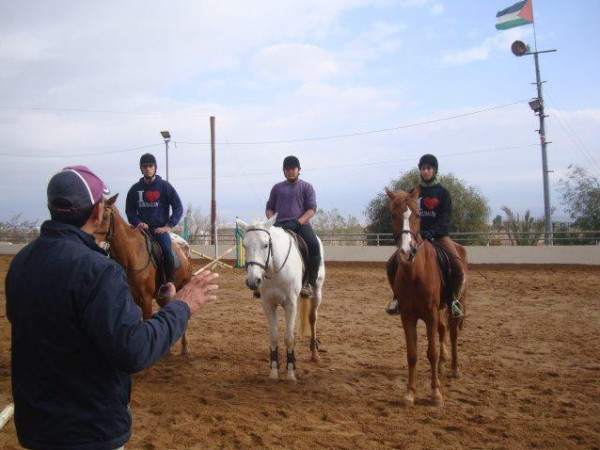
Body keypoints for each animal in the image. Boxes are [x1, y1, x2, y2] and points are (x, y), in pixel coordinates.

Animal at [95, 194, 193, 355]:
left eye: (104, 216)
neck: (131, 255)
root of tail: (184, 247)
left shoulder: (145, 298)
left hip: (182, 286)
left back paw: (185, 348)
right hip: (162, 296)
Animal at [235, 214, 325, 382]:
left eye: (265, 245)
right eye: (244, 245)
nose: (253, 281)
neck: (275, 268)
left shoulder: (290, 304)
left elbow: (289, 337)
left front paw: (290, 374)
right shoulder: (268, 304)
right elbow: (274, 337)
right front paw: (274, 372)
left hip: (317, 292)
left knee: (312, 319)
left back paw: (315, 354)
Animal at [385, 187, 468, 407]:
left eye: (417, 215)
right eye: (393, 215)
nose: (407, 251)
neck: (415, 274)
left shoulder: (430, 315)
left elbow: (432, 352)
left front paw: (436, 394)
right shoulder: (407, 316)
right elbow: (412, 354)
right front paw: (409, 393)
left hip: (455, 305)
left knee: (453, 334)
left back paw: (455, 369)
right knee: (443, 330)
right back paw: (443, 366)